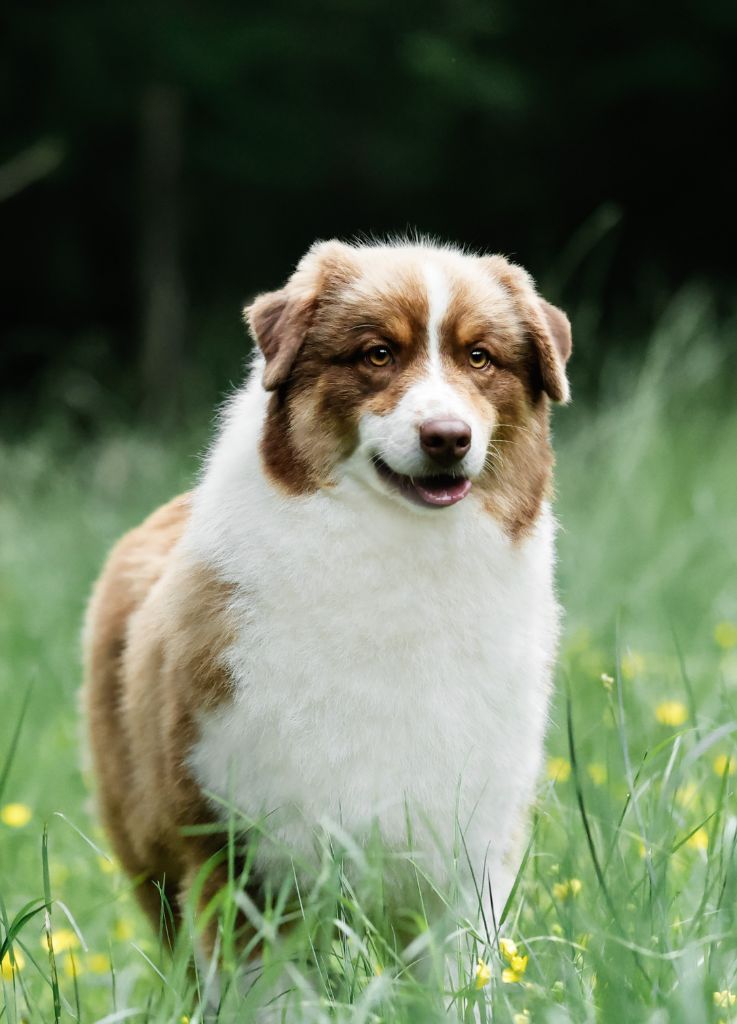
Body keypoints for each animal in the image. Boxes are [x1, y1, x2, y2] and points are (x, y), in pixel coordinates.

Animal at [84, 237, 569, 983]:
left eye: (480, 357)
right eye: (378, 354)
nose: (447, 437)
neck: (400, 563)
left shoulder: (470, 853)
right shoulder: (240, 855)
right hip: (153, 865)